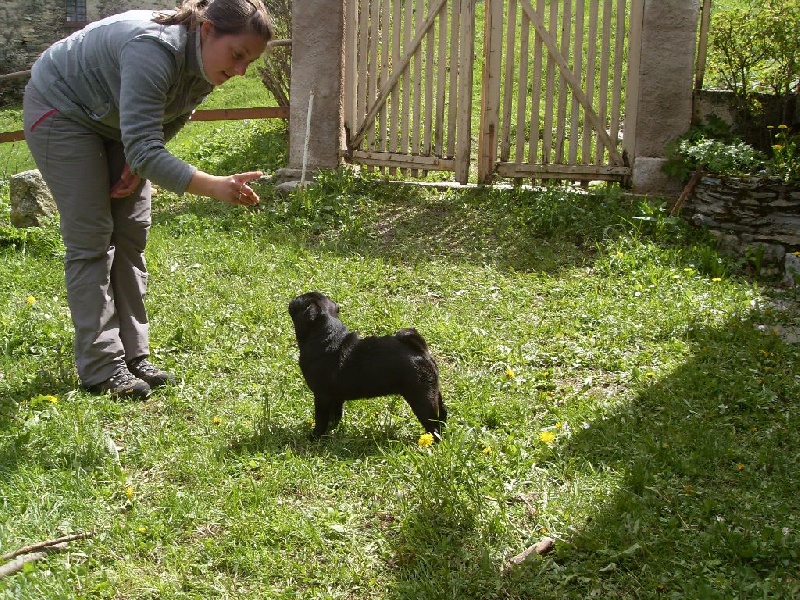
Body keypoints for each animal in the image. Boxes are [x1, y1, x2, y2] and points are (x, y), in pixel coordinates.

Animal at [290, 292, 450, 438]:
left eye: (298, 301)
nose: (292, 300)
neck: (326, 336)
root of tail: (421, 351)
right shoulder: (336, 397)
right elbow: (335, 415)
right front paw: (331, 429)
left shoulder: (321, 395)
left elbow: (321, 419)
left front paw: (315, 436)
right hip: (433, 391)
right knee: (442, 413)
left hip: (422, 398)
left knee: (433, 425)